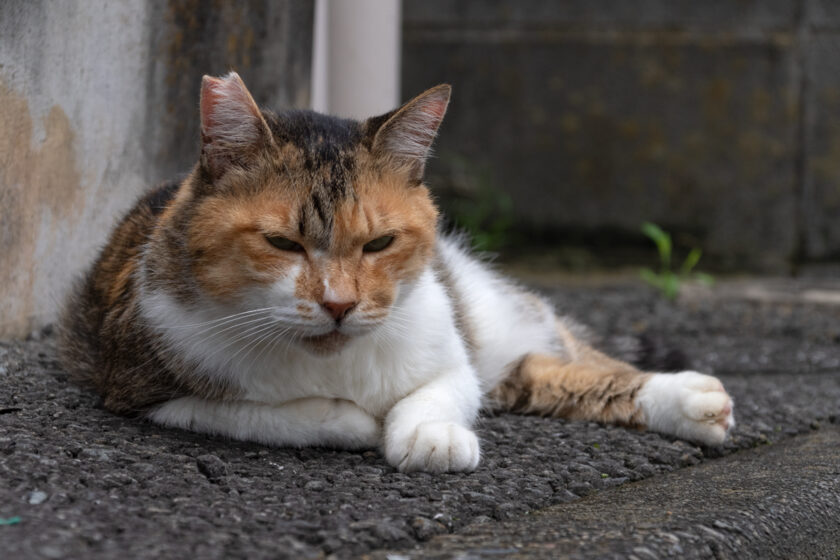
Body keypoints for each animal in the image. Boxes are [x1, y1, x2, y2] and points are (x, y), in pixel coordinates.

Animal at [59, 71, 732, 472]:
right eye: (282, 243)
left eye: (379, 243)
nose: (338, 304)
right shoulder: (142, 388)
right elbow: (270, 414)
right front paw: (354, 421)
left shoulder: (452, 354)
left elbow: (435, 394)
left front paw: (430, 437)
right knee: (540, 375)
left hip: (485, 310)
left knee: (572, 359)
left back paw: (689, 397)